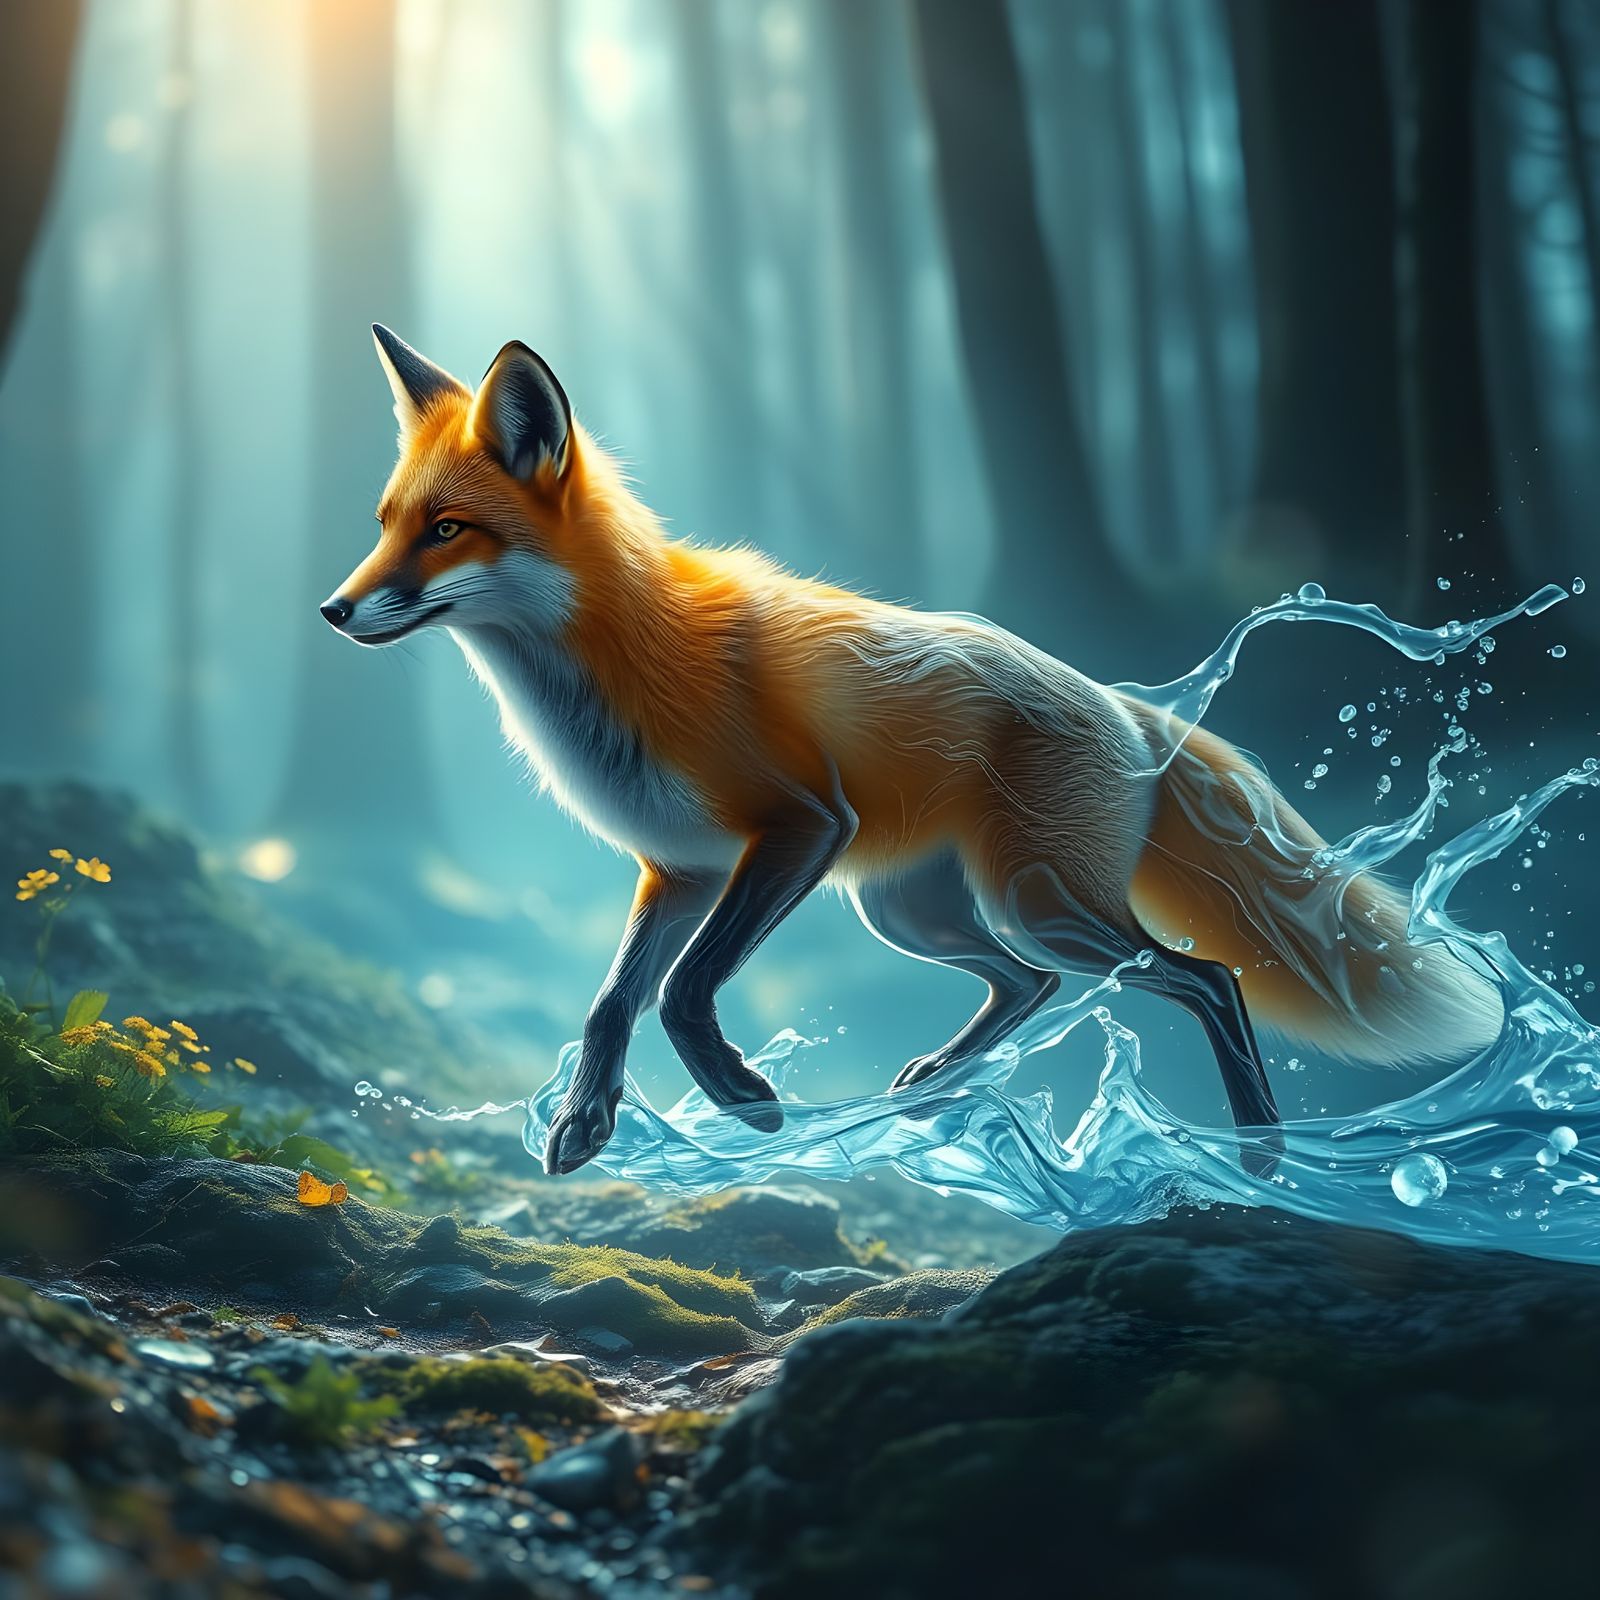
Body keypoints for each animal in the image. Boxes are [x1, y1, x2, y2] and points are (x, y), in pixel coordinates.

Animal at [322, 326, 1504, 1177]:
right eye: (384, 524)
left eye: (446, 531)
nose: (332, 611)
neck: (615, 663)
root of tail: (1125, 707)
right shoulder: (681, 867)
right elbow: (610, 999)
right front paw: (585, 1121)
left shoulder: (798, 829)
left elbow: (684, 990)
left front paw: (742, 1098)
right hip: (911, 912)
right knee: (1028, 984)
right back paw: (938, 1085)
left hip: (1033, 900)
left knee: (1205, 978)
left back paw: (1258, 1153)